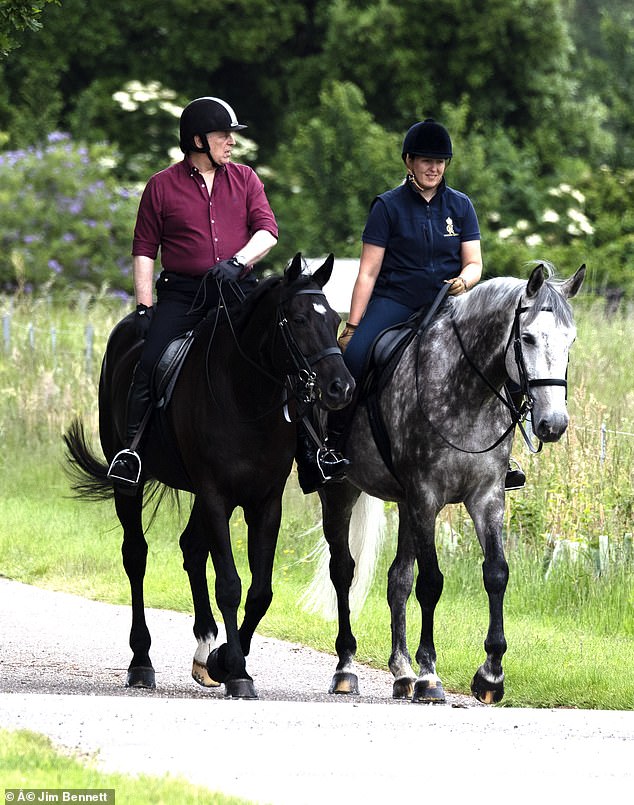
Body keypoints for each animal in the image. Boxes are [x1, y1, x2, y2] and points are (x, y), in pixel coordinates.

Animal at [64, 253, 354, 696]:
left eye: (335, 320)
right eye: (299, 319)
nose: (342, 388)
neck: (246, 396)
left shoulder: (264, 503)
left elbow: (260, 591)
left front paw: (223, 660)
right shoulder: (217, 495)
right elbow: (230, 585)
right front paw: (236, 670)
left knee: (191, 548)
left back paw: (204, 648)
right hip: (130, 486)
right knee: (136, 556)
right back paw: (141, 660)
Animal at [302, 262, 584, 704]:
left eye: (570, 339)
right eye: (526, 337)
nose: (552, 424)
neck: (466, 391)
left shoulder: (486, 498)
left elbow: (496, 572)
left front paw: (490, 675)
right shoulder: (426, 497)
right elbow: (431, 582)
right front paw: (429, 674)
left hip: (404, 504)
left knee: (397, 579)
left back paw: (401, 672)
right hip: (341, 492)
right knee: (343, 571)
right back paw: (347, 667)